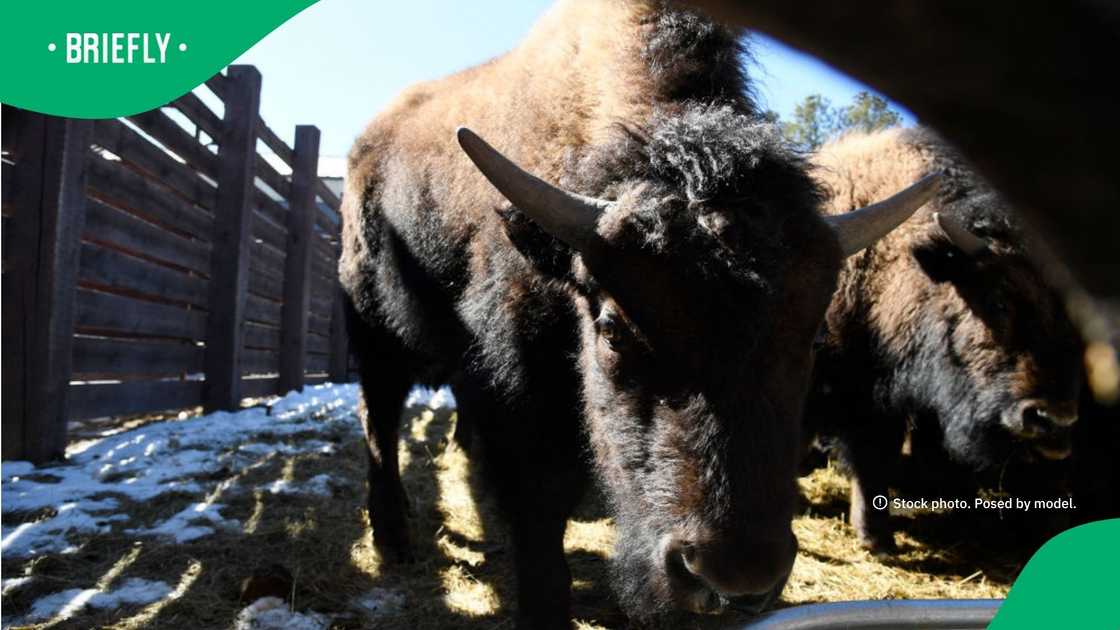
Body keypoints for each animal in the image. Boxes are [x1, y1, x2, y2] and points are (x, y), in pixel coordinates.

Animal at [340, 2, 935, 625]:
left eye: (814, 338)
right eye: (612, 328)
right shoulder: (518, 386)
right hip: (374, 330)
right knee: (379, 416)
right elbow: (539, 502)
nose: (736, 577)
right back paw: (393, 539)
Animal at [806, 127, 1083, 554]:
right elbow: (870, 457)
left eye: (1072, 312)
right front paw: (875, 538)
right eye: (998, 299)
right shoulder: (858, 395)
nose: (1054, 419)